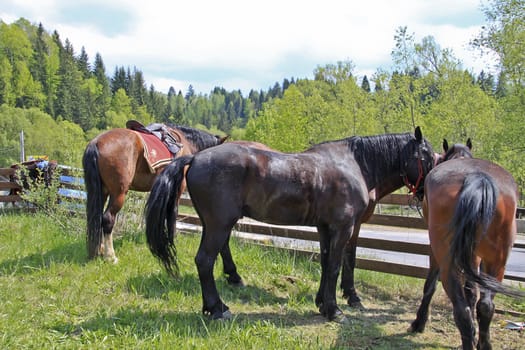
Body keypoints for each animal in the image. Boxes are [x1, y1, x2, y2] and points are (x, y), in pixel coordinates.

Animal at [82, 123, 225, 262]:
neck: (187, 143)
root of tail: (96, 142)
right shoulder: (177, 190)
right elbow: (172, 214)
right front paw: (172, 239)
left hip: (102, 192)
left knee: (97, 217)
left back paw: (99, 250)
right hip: (118, 194)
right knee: (107, 218)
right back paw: (110, 256)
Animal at [144, 127, 434, 322]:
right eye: (427, 155)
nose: (428, 190)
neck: (353, 165)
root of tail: (195, 158)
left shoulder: (325, 228)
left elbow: (326, 263)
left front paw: (322, 303)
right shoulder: (343, 228)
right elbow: (337, 265)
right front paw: (335, 309)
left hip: (211, 224)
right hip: (219, 225)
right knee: (204, 260)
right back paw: (217, 309)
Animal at [410, 156, 524, 350]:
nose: (419, 193)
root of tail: (478, 178)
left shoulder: (437, 253)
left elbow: (431, 284)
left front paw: (419, 322)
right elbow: (471, 292)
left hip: (452, 264)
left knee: (465, 309)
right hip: (496, 264)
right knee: (484, 306)